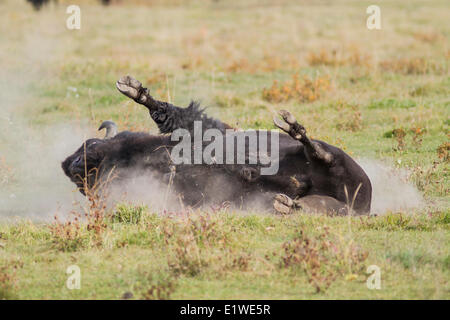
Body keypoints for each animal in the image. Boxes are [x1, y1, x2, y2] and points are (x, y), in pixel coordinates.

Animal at [62, 75, 372, 215]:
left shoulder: (207, 132)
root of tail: (364, 205)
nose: (73, 161)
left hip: (339, 164)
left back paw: (291, 128)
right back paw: (285, 203)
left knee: (319, 152)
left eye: (93, 143)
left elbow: (179, 117)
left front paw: (134, 90)